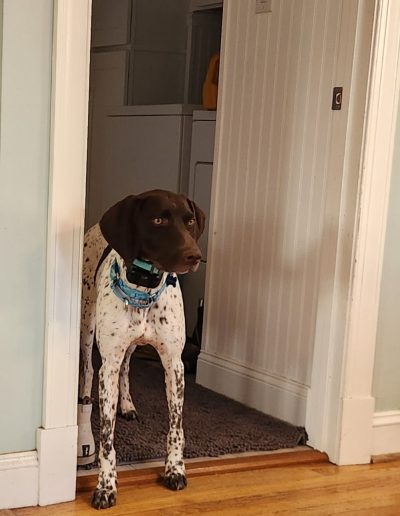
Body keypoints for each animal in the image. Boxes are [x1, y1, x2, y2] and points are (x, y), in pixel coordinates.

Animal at [79, 189, 205, 509]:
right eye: (158, 220)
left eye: (189, 221)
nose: (195, 256)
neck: (144, 288)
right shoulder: (108, 364)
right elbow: (107, 440)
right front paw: (106, 486)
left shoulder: (174, 364)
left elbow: (176, 427)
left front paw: (175, 469)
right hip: (87, 323)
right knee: (88, 367)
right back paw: (84, 397)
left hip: (132, 346)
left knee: (126, 368)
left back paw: (127, 405)